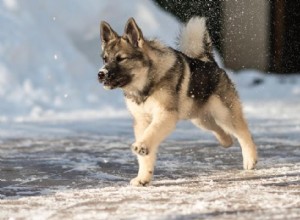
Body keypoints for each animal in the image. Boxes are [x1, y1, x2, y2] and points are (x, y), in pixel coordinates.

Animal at [98, 17, 258, 186]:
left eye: (121, 59)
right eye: (105, 59)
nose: (101, 74)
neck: (147, 82)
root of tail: (210, 61)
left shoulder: (166, 115)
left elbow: (151, 132)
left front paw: (142, 146)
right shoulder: (141, 121)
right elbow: (146, 155)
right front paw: (143, 177)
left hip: (224, 113)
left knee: (243, 133)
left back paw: (250, 159)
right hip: (201, 119)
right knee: (220, 130)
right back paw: (226, 141)